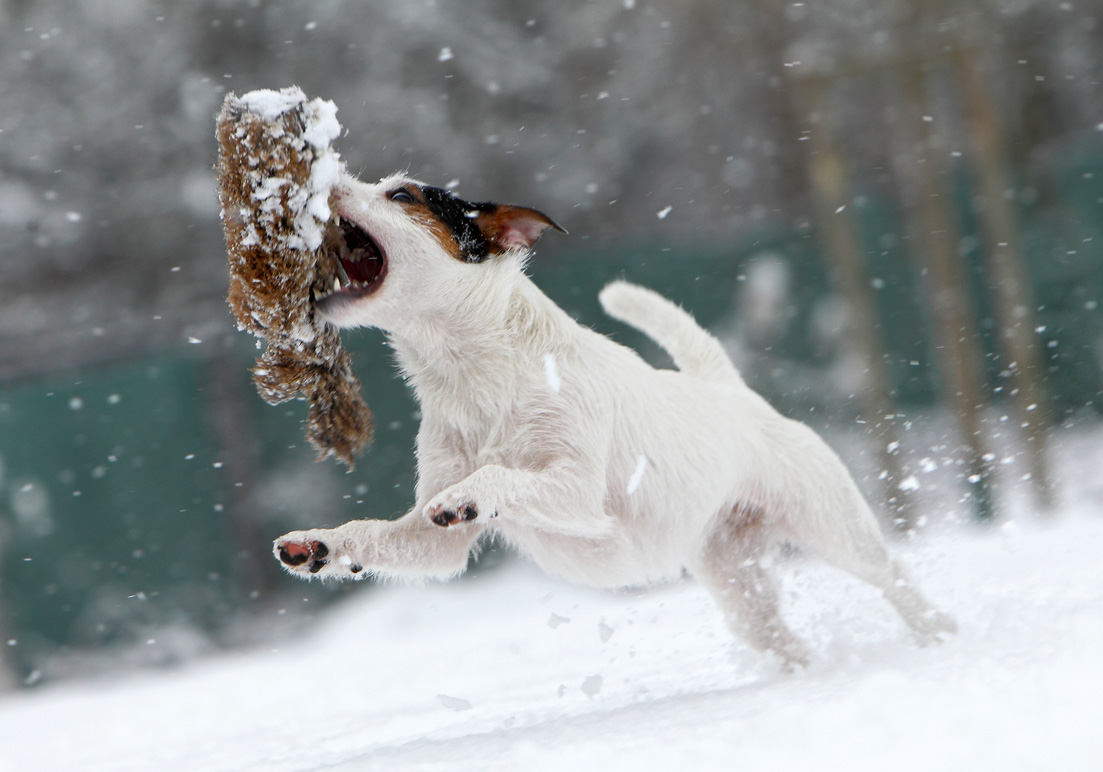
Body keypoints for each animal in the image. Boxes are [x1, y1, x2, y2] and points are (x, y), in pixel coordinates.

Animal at [271, 172, 952, 666]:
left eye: (401, 194)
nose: (322, 179)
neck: (475, 375)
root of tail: (731, 393)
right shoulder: (434, 542)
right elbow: (380, 534)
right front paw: (318, 545)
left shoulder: (577, 491)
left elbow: (500, 477)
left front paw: (470, 495)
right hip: (737, 581)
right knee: (782, 640)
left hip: (833, 527)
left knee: (894, 579)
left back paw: (939, 636)